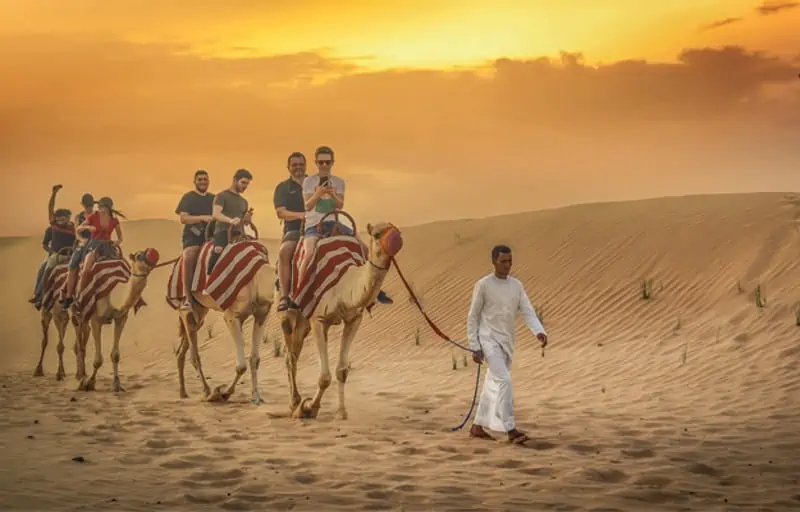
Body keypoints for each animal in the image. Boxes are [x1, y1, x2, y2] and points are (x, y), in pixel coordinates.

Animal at [72, 244, 161, 392]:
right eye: (139, 255)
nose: (153, 254)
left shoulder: (121, 318)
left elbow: (115, 355)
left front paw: (117, 385)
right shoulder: (96, 319)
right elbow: (98, 360)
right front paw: (89, 382)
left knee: (83, 336)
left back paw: (80, 374)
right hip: (77, 311)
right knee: (79, 342)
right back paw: (80, 377)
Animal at [173, 223, 274, 404]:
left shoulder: (262, 313)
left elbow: (254, 359)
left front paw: (256, 396)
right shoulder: (231, 316)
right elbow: (241, 366)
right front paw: (222, 393)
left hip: (201, 311)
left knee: (183, 348)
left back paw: (183, 392)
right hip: (185, 306)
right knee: (193, 351)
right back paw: (206, 391)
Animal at [280, 215, 406, 420]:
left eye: (397, 231)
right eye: (377, 234)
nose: (396, 240)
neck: (343, 285)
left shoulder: (354, 319)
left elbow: (341, 371)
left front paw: (341, 412)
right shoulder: (319, 320)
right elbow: (324, 377)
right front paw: (308, 408)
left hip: (304, 322)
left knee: (294, 349)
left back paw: (296, 401)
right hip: (290, 311)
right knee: (289, 353)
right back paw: (293, 403)